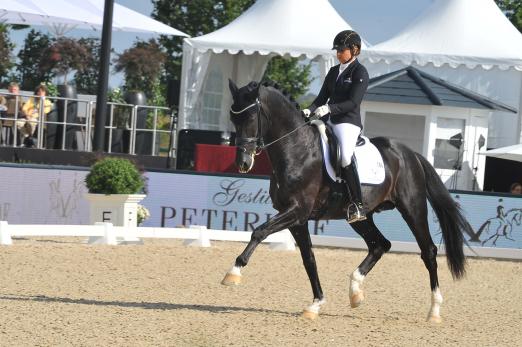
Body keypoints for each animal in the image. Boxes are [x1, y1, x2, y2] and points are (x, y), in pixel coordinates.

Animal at [221, 79, 470, 324]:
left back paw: (434, 311)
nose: (243, 163)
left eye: (250, 117)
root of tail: (411, 154)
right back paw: (355, 292)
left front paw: (233, 272)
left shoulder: (297, 211)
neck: (297, 149)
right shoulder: (297, 219)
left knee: (428, 251)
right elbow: (309, 258)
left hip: (412, 208)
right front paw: (315, 304)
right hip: (361, 216)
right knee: (380, 245)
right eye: (233, 118)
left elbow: (259, 231)